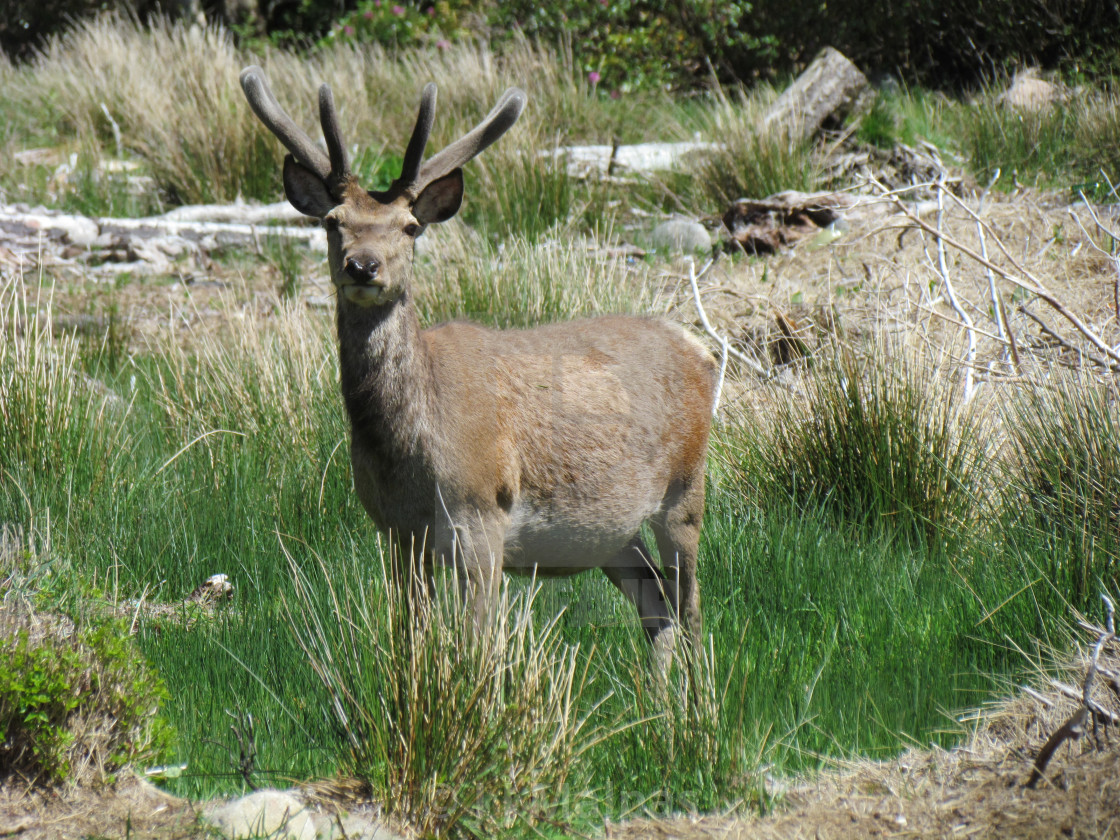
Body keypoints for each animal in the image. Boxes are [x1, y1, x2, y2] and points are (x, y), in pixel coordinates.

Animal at [241, 65, 716, 672]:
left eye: (410, 226)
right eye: (332, 220)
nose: (362, 266)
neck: (407, 456)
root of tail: (700, 349)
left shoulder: (480, 512)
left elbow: (476, 645)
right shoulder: (394, 531)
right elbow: (410, 639)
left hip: (686, 486)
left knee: (691, 604)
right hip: (612, 531)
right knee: (656, 600)